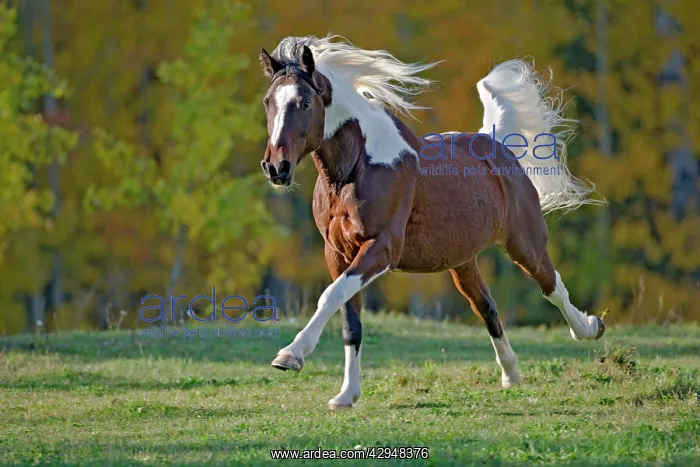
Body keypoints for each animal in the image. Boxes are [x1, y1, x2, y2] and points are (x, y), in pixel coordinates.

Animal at [258, 35, 605, 409]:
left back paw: (590, 327)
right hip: (463, 262)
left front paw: (290, 355)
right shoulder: (337, 253)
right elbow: (350, 320)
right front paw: (346, 395)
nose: (276, 167)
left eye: (305, 102)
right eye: (268, 101)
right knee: (487, 307)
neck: (358, 168)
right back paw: (511, 374)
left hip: (525, 244)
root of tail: (497, 146)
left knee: (552, 286)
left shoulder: (382, 248)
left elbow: (330, 296)